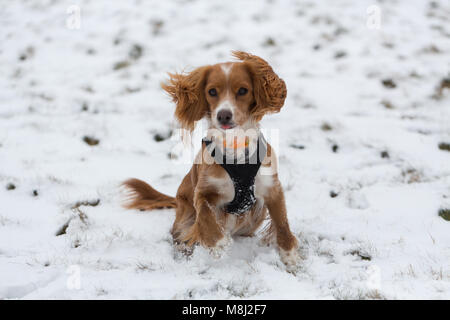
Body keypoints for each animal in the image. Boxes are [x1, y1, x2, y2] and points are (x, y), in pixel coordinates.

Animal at [121, 50, 300, 270]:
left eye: (243, 90)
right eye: (212, 92)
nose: (223, 115)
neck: (234, 147)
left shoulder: (272, 187)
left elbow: (282, 222)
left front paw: (290, 256)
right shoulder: (204, 189)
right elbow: (205, 214)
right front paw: (217, 243)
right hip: (184, 216)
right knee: (183, 233)